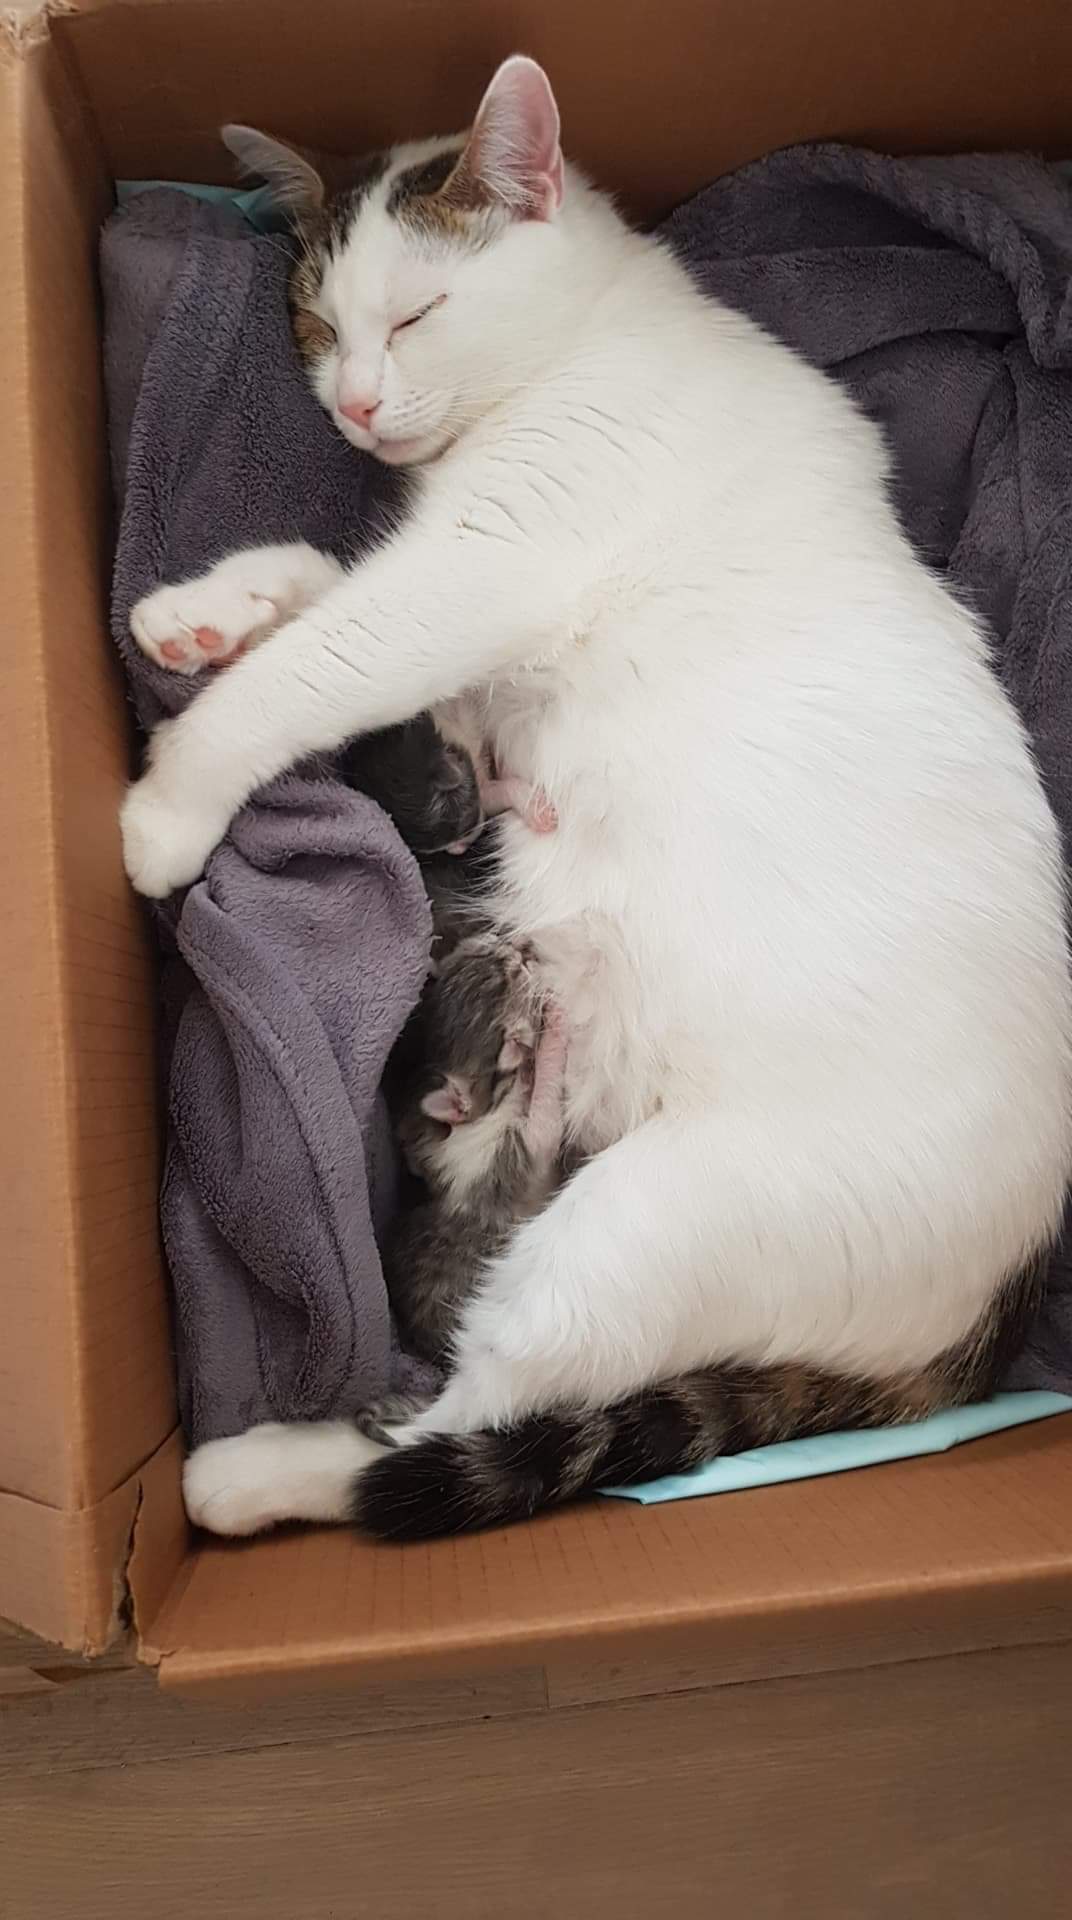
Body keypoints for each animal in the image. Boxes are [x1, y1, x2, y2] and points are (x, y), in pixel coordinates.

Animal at [120, 55, 1072, 1540]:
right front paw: (204, 614)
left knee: (458, 1432)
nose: (355, 406)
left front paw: (168, 804)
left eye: (416, 312)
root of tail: (992, 1322)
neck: (583, 345)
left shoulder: (488, 564)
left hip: (637, 1235)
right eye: (319, 325)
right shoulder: (457, 623)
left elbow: (316, 667)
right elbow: (320, 587)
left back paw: (246, 1472)